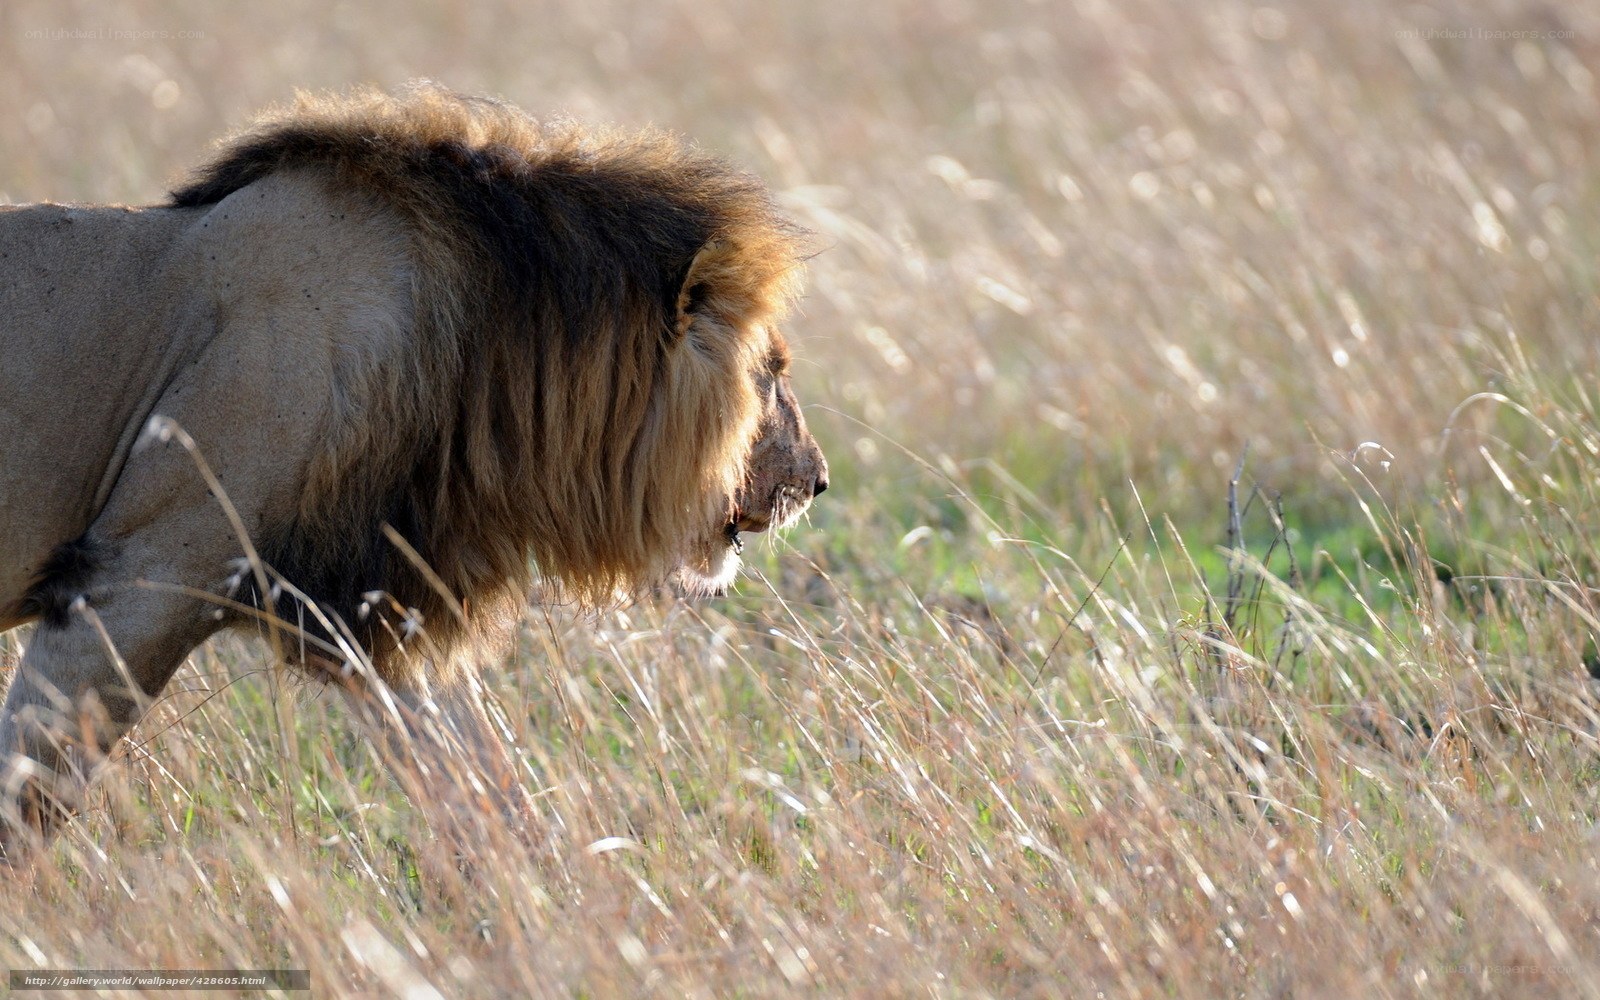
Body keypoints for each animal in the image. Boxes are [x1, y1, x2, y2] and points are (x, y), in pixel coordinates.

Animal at [0, 83, 828, 853]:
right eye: (771, 373)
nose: (818, 480)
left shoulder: (363, 602)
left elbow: (480, 783)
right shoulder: (132, 579)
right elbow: (29, 791)